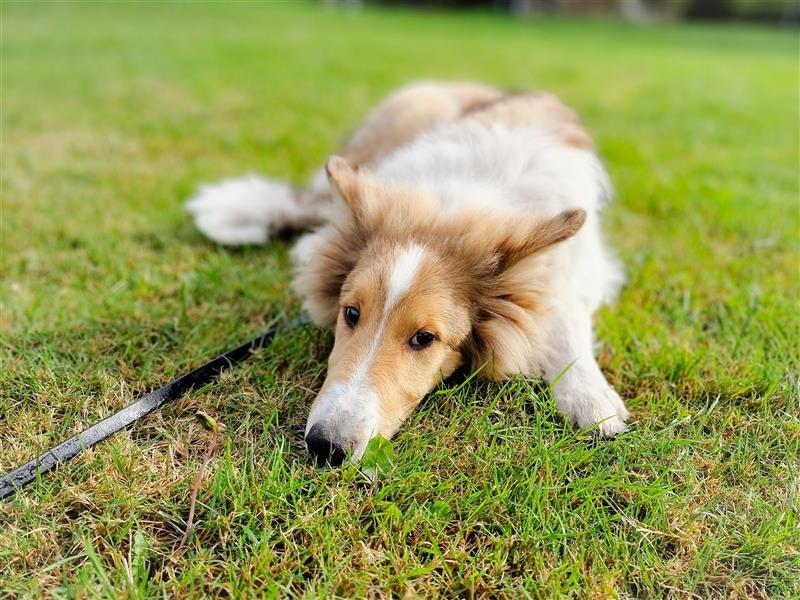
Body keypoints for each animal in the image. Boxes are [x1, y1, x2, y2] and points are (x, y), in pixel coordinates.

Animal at [189, 81, 632, 464]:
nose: (325, 447)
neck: (460, 199)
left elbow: (566, 316)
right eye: (351, 313)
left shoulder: (583, 267)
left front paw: (592, 398)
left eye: (424, 338)